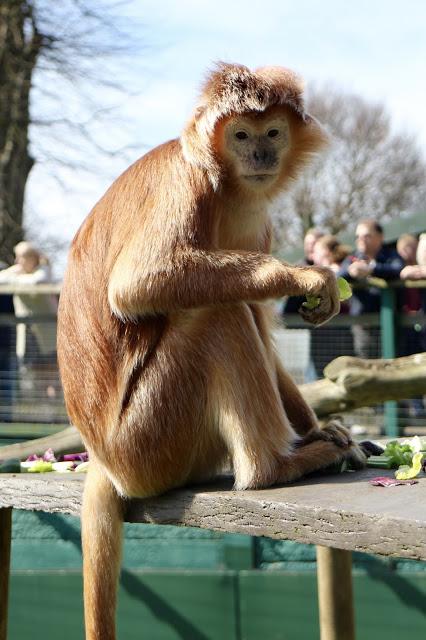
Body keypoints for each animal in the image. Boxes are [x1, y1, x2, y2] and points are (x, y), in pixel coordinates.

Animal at [56, 61, 366, 640]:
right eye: (240, 136)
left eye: (272, 133)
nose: (260, 156)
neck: (228, 188)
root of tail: (106, 460)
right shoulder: (187, 181)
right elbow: (138, 285)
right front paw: (304, 275)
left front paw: (320, 427)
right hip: (151, 438)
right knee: (216, 313)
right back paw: (275, 467)